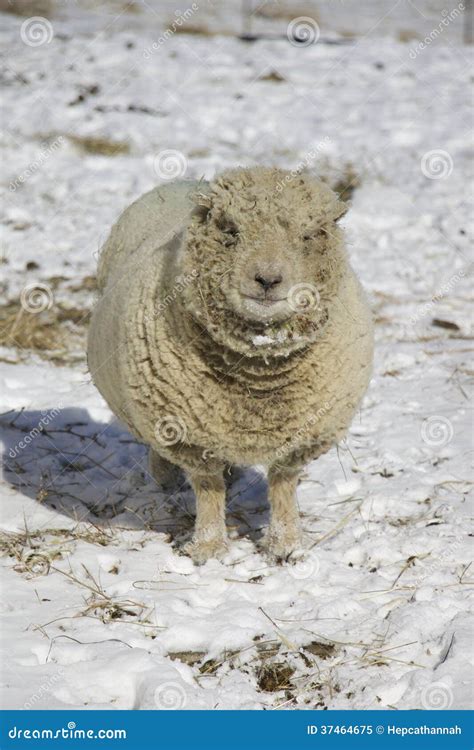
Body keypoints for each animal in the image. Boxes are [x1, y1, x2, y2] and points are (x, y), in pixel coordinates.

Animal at [88, 167, 374, 563]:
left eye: (309, 234)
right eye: (230, 230)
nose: (267, 279)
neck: (258, 371)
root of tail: (185, 181)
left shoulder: (303, 436)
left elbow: (283, 484)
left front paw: (285, 546)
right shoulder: (187, 434)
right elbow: (208, 489)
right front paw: (208, 548)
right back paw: (164, 476)